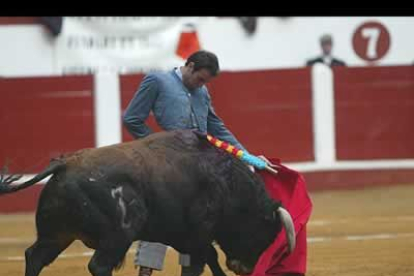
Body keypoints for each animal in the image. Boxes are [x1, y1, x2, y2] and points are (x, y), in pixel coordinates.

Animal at [0, 130, 294, 276]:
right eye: (263, 232)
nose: (244, 269)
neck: (227, 182)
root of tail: (65, 164)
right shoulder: (199, 230)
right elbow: (203, 260)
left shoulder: (181, 234)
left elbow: (203, 260)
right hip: (118, 234)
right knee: (99, 266)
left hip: (57, 233)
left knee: (35, 257)